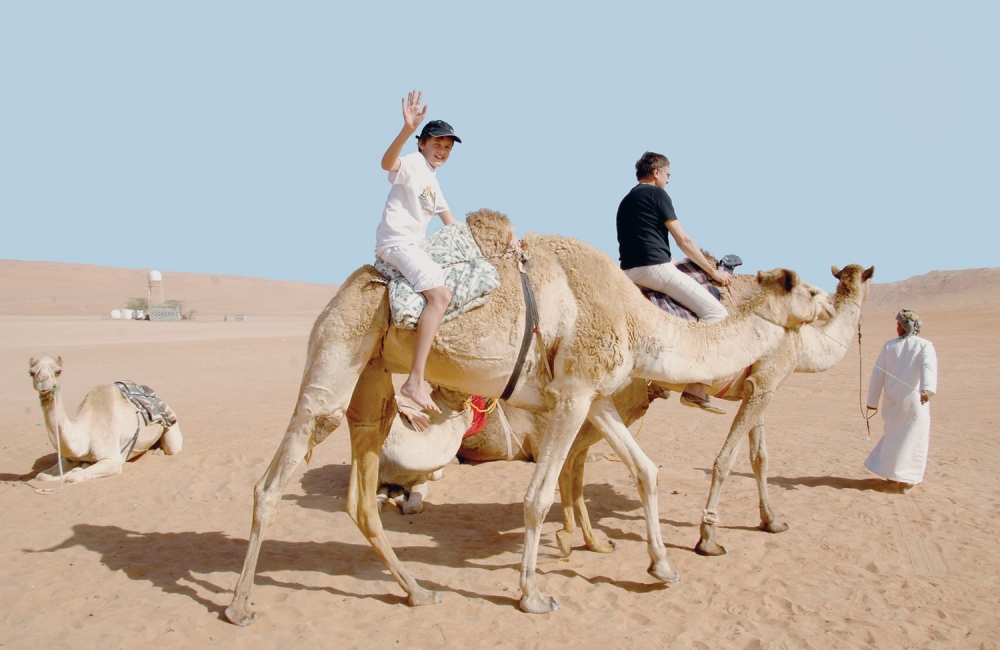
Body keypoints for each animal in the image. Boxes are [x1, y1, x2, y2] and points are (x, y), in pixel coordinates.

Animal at [28, 356, 183, 486]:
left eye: (58, 371)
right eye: (31, 372)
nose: (43, 381)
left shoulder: (112, 460)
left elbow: (73, 476)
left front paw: (74, 472)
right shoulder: (70, 457)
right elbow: (42, 475)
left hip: (172, 428)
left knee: (172, 447)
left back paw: (158, 452)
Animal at [225, 209, 834, 624]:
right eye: (807, 289)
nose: (829, 307)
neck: (637, 318)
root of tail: (343, 289)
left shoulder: (594, 395)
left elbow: (645, 469)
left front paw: (661, 567)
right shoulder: (572, 396)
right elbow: (539, 496)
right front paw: (533, 594)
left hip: (371, 374)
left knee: (362, 486)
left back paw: (417, 592)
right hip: (340, 343)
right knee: (280, 471)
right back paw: (239, 605)